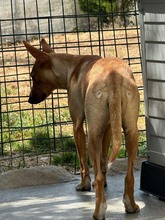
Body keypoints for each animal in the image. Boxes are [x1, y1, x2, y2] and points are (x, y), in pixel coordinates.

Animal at [23, 39, 140, 220]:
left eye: (33, 77)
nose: (30, 100)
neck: (73, 65)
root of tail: (113, 76)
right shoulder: (107, 128)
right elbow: (103, 160)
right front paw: (103, 181)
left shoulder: (77, 126)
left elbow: (83, 161)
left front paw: (84, 185)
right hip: (131, 132)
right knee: (129, 176)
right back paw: (131, 206)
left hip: (92, 134)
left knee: (97, 175)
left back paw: (98, 212)